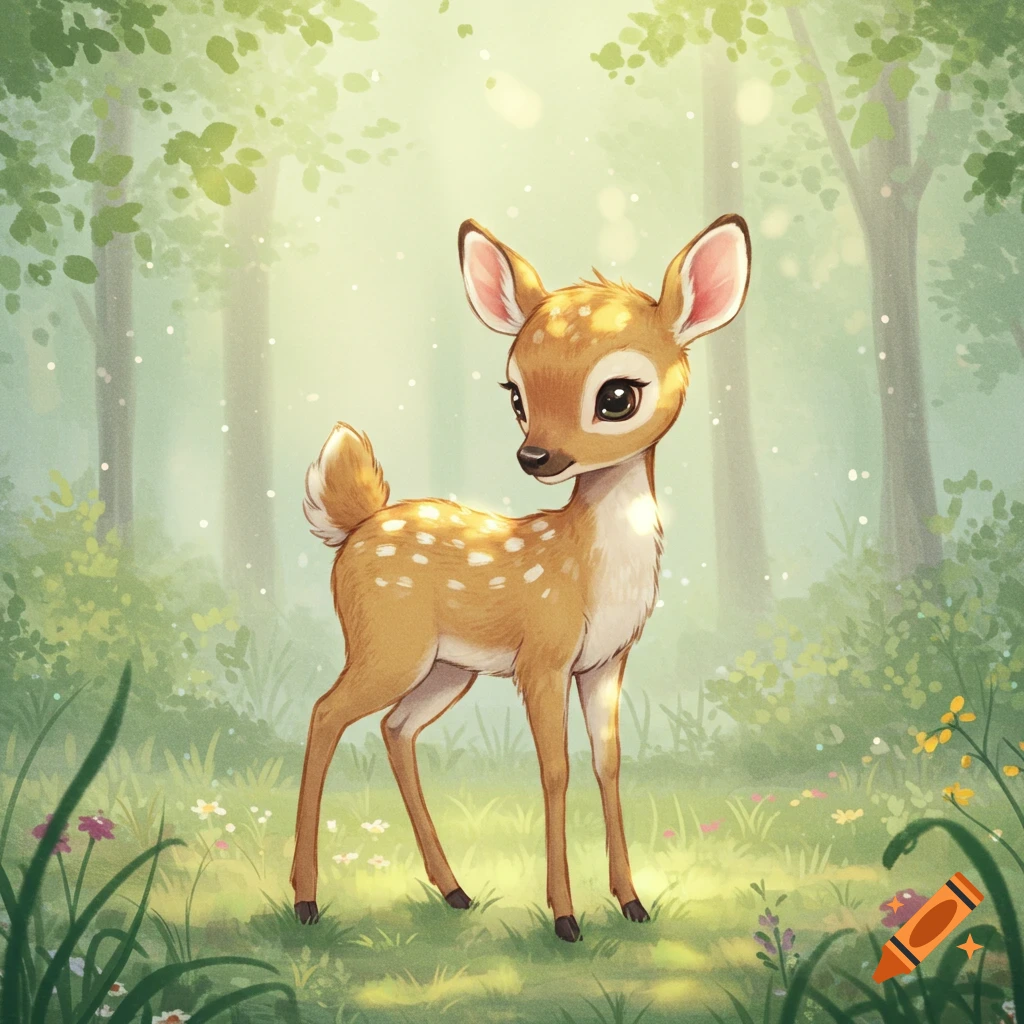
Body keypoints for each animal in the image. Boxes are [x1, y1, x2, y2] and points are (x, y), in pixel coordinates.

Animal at [291, 212, 751, 941]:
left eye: (617, 396)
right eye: (515, 395)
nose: (535, 456)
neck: (590, 570)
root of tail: (355, 525)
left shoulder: (606, 661)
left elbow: (608, 765)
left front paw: (632, 903)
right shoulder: (544, 655)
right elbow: (554, 770)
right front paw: (565, 917)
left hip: (447, 667)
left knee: (396, 728)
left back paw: (454, 891)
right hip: (388, 644)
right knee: (324, 713)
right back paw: (306, 901)